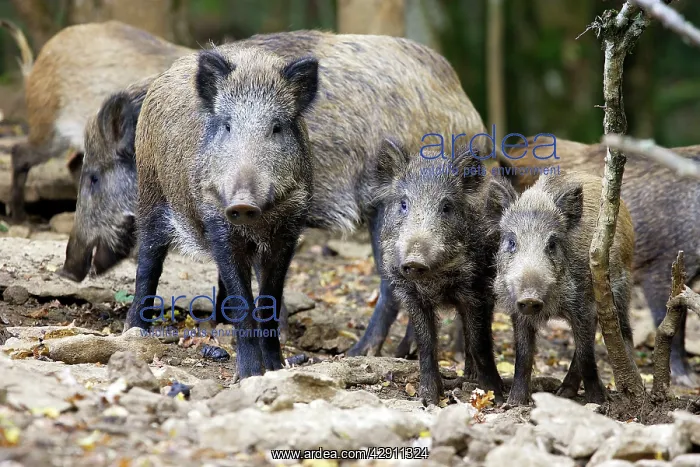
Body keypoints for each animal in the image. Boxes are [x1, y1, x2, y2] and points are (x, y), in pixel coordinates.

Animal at [61, 29, 498, 361]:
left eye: (93, 178)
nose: (68, 267)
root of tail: (469, 112)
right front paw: (220, 325)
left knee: (393, 285)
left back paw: (365, 352)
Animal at [372, 138, 509, 405]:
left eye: (446, 207)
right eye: (403, 204)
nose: (414, 260)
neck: (434, 282)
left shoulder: (475, 290)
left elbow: (480, 343)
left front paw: (496, 397)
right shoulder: (411, 295)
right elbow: (426, 343)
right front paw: (429, 400)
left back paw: (471, 379)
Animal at [494, 170, 635, 405]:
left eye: (552, 244)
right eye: (512, 242)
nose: (530, 298)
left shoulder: (583, 306)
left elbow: (587, 355)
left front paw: (598, 402)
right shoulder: (517, 310)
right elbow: (523, 355)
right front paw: (514, 403)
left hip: (622, 288)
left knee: (623, 333)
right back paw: (563, 393)